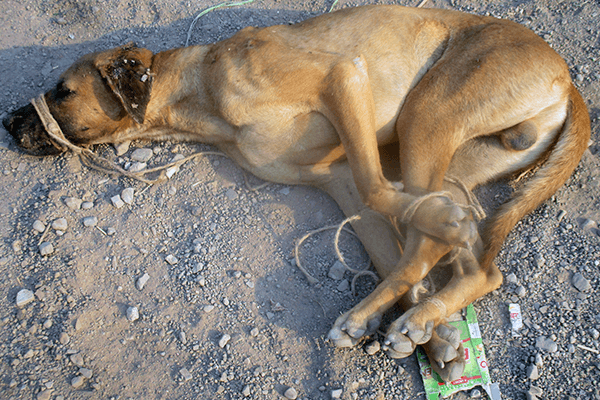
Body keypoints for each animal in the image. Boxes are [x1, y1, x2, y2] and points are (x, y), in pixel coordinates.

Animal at [2, 5, 588, 382]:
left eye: (63, 91)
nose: (8, 122)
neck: (200, 91)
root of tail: (567, 79)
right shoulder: (337, 178)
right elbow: (386, 234)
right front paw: (439, 336)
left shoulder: (343, 78)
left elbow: (381, 190)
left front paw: (434, 276)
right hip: (449, 154)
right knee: (471, 266)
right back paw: (416, 319)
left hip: (428, 112)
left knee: (452, 241)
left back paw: (406, 303)